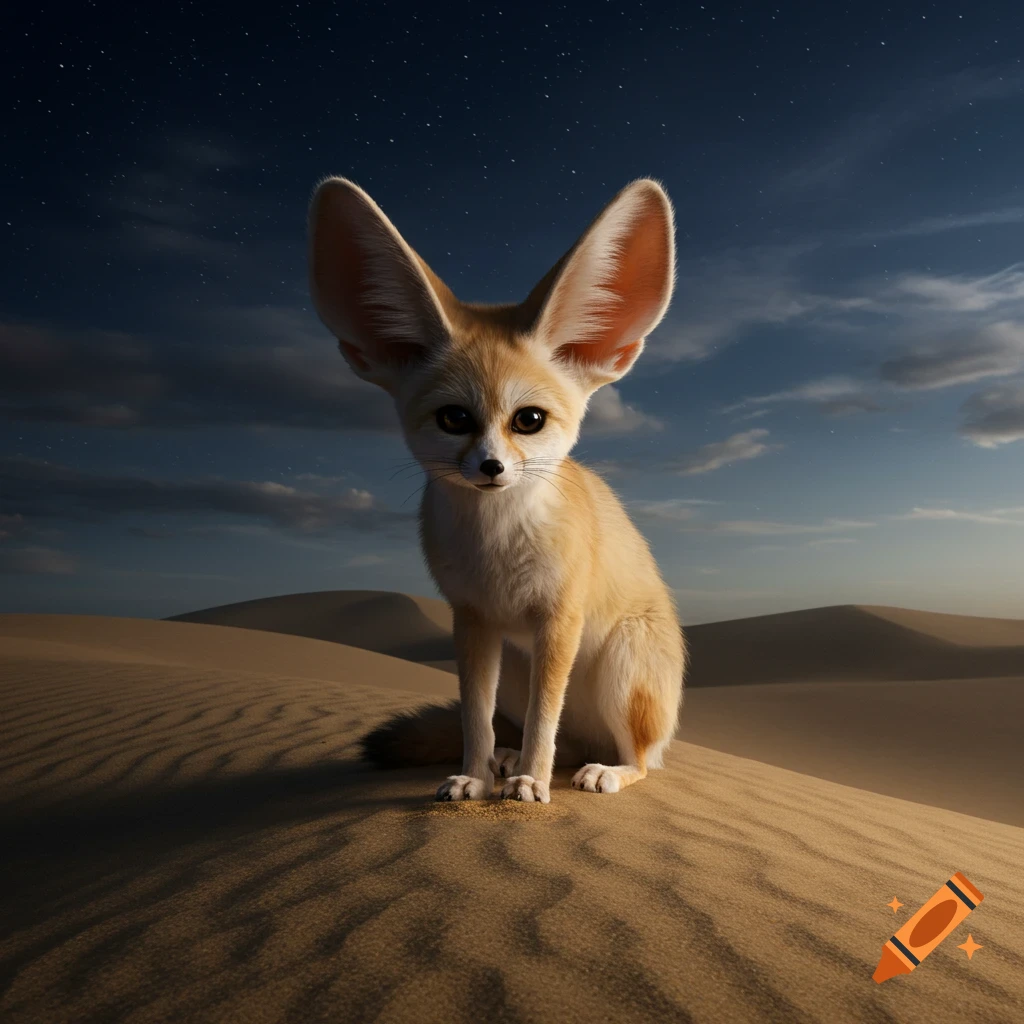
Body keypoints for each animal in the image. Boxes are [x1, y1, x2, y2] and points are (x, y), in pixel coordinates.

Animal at [308, 176, 686, 803]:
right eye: (454, 419)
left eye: (528, 421)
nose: (490, 468)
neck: (497, 547)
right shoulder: (472, 621)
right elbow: (474, 716)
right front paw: (476, 776)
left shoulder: (558, 619)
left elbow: (542, 716)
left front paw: (531, 782)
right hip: (516, 662)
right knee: (564, 741)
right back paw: (510, 760)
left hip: (621, 670)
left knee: (640, 760)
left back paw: (603, 771)